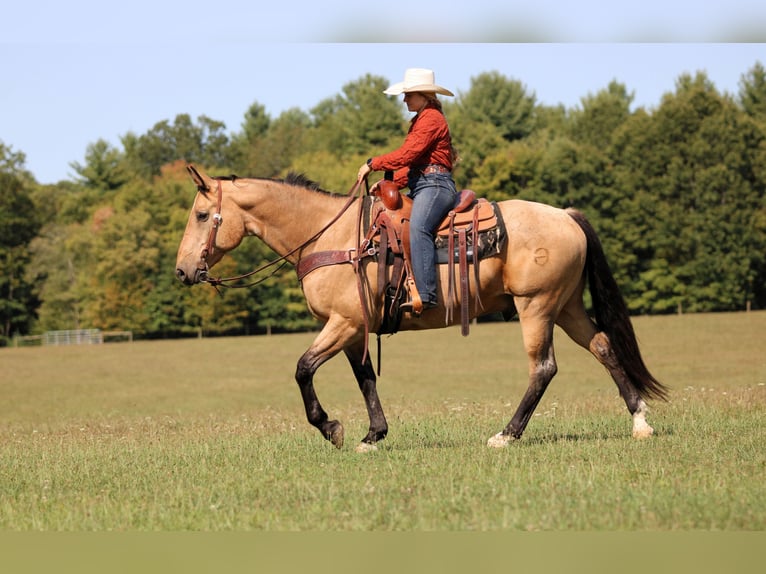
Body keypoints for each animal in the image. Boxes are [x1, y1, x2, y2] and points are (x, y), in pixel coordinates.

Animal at [175, 164, 668, 452]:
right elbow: (365, 378)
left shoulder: (343, 322)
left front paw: (331, 427)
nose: (182, 271)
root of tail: (565, 215)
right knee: (603, 347)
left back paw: (506, 435)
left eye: (200, 215)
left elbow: (302, 369)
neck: (330, 236)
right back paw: (639, 422)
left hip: (537, 307)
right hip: (565, 306)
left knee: (543, 368)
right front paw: (373, 435)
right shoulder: (353, 328)